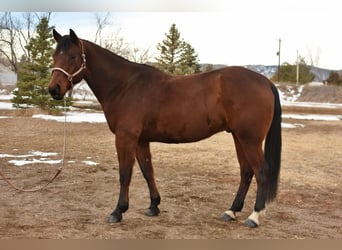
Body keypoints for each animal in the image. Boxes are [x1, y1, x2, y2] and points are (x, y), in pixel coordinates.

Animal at [48, 28, 284, 228]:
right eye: (54, 56)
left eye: (73, 56)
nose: (54, 89)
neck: (124, 85)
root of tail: (265, 82)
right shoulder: (141, 140)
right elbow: (147, 171)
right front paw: (154, 206)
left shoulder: (125, 138)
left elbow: (125, 174)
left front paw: (118, 211)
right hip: (238, 137)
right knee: (246, 172)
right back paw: (231, 211)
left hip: (250, 139)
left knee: (261, 171)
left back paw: (254, 216)